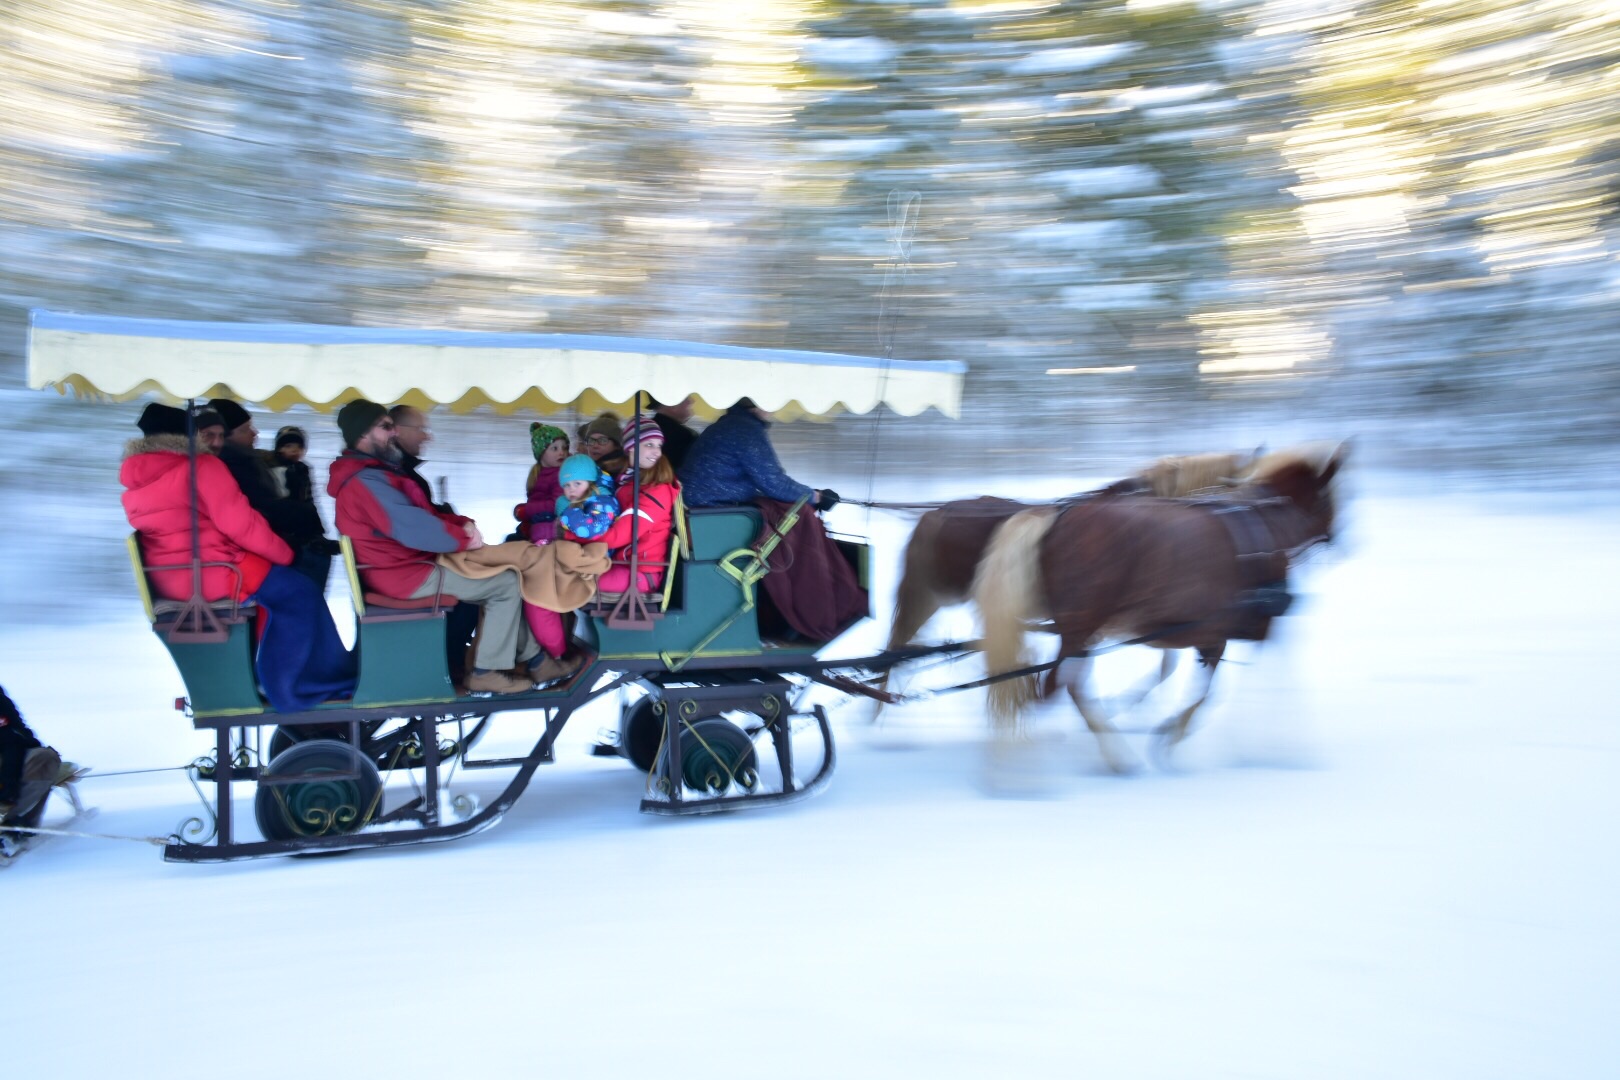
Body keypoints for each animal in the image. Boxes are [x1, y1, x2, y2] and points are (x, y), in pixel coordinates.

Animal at [972, 443, 1341, 773]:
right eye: (1331, 498)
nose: (1341, 539)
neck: (1264, 521)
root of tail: (1057, 519)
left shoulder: (1190, 632)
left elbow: (1180, 676)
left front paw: (1156, 720)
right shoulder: (1239, 628)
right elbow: (1208, 690)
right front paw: (1174, 733)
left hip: (1081, 631)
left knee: (1057, 686)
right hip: (1080, 628)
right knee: (1056, 687)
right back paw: (1100, 756)